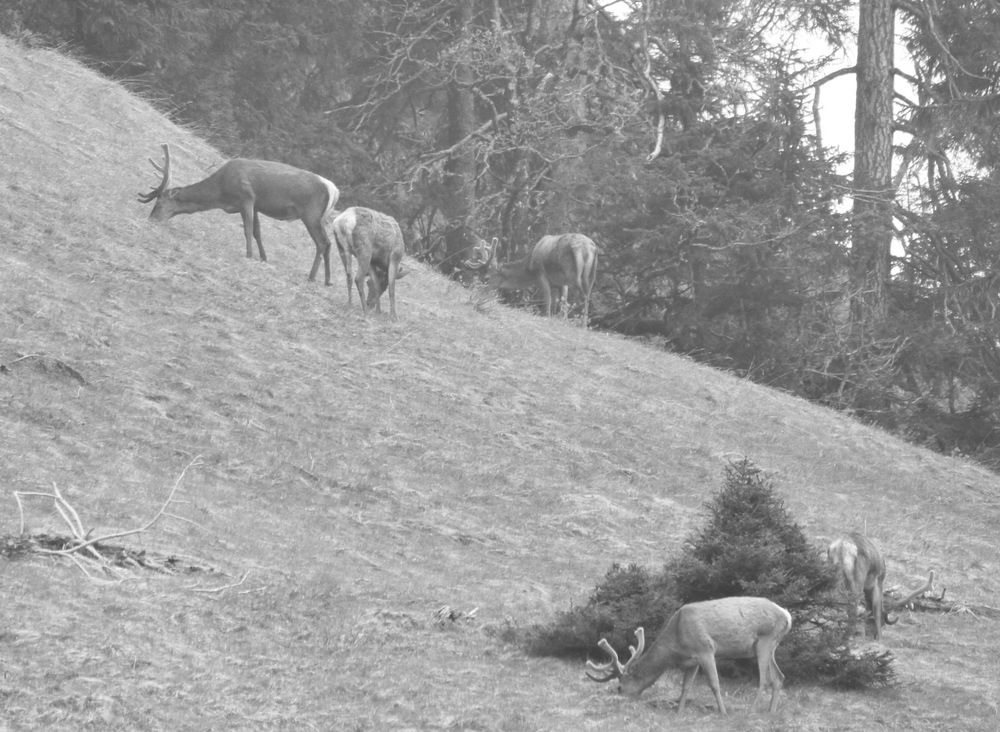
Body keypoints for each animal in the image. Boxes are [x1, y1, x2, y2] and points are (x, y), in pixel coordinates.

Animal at [137, 142, 342, 284]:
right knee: (328, 242)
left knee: (322, 243)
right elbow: (257, 232)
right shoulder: (256, 205)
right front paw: (263, 258)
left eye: (159, 203)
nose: (151, 219)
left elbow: (247, 229)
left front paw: (249, 255)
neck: (221, 194)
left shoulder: (246, 198)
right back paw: (327, 280)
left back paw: (312, 277)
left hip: (311, 213)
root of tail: (334, 191)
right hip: (319, 217)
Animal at [584, 596, 788, 716]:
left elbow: (714, 684)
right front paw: (679, 712)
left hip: (765, 639)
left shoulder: (706, 649)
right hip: (771, 645)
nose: (619, 702)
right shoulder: (692, 661)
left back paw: (751, 711)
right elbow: (686, 687)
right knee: (779, 677)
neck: (677, 643)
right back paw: (771, 712)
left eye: (619, 687)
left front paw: (723, 713)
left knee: (765, 680)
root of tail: (787, 615)